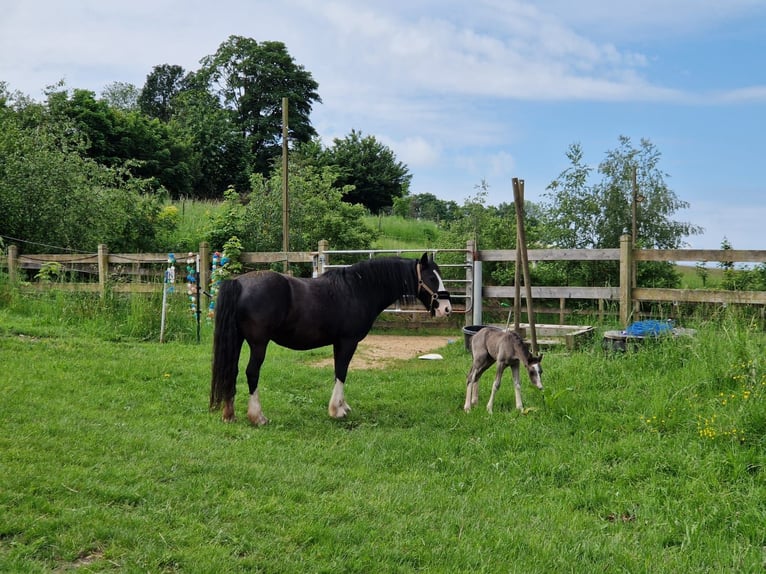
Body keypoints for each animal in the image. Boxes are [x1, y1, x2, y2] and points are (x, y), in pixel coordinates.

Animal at [207, 254, 452, 426]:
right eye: (432, 278)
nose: (447, 309)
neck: (358, 289)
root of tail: (239, 283)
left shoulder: (338, 343)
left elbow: (337, 371)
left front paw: (342, 406)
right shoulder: (348, 342)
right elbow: (342, 372)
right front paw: (337, 410)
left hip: (237, 340)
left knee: (231, 370)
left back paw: (229, 414)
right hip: (259, 344)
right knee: (251, 372)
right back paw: (257, 416)